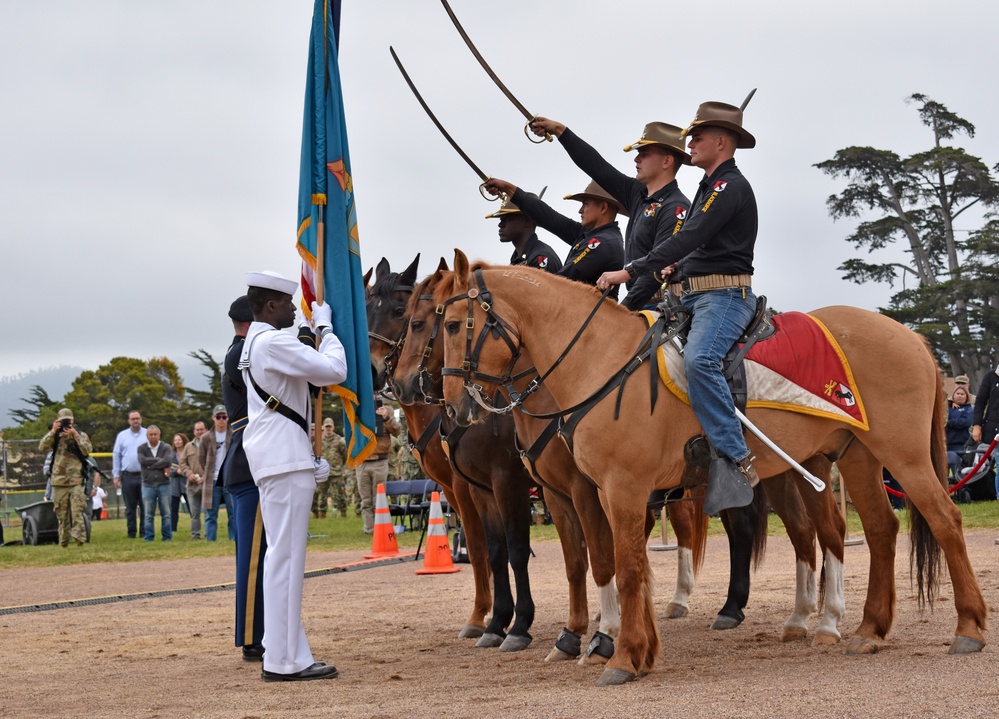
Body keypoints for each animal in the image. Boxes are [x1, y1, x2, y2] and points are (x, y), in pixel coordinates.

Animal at [436, 253, 984, 688]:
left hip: (901, 455)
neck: (603, 364)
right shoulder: (598, 494)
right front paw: (627, 649)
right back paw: (868, 630)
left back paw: (967, 628)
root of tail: (912, 337)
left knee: (942, 520)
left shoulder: (619, 489)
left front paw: (622, 655)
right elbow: (614, 564)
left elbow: (625, 568)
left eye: (450, 325)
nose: (453, 406)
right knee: (879, 528)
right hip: (857, 456)